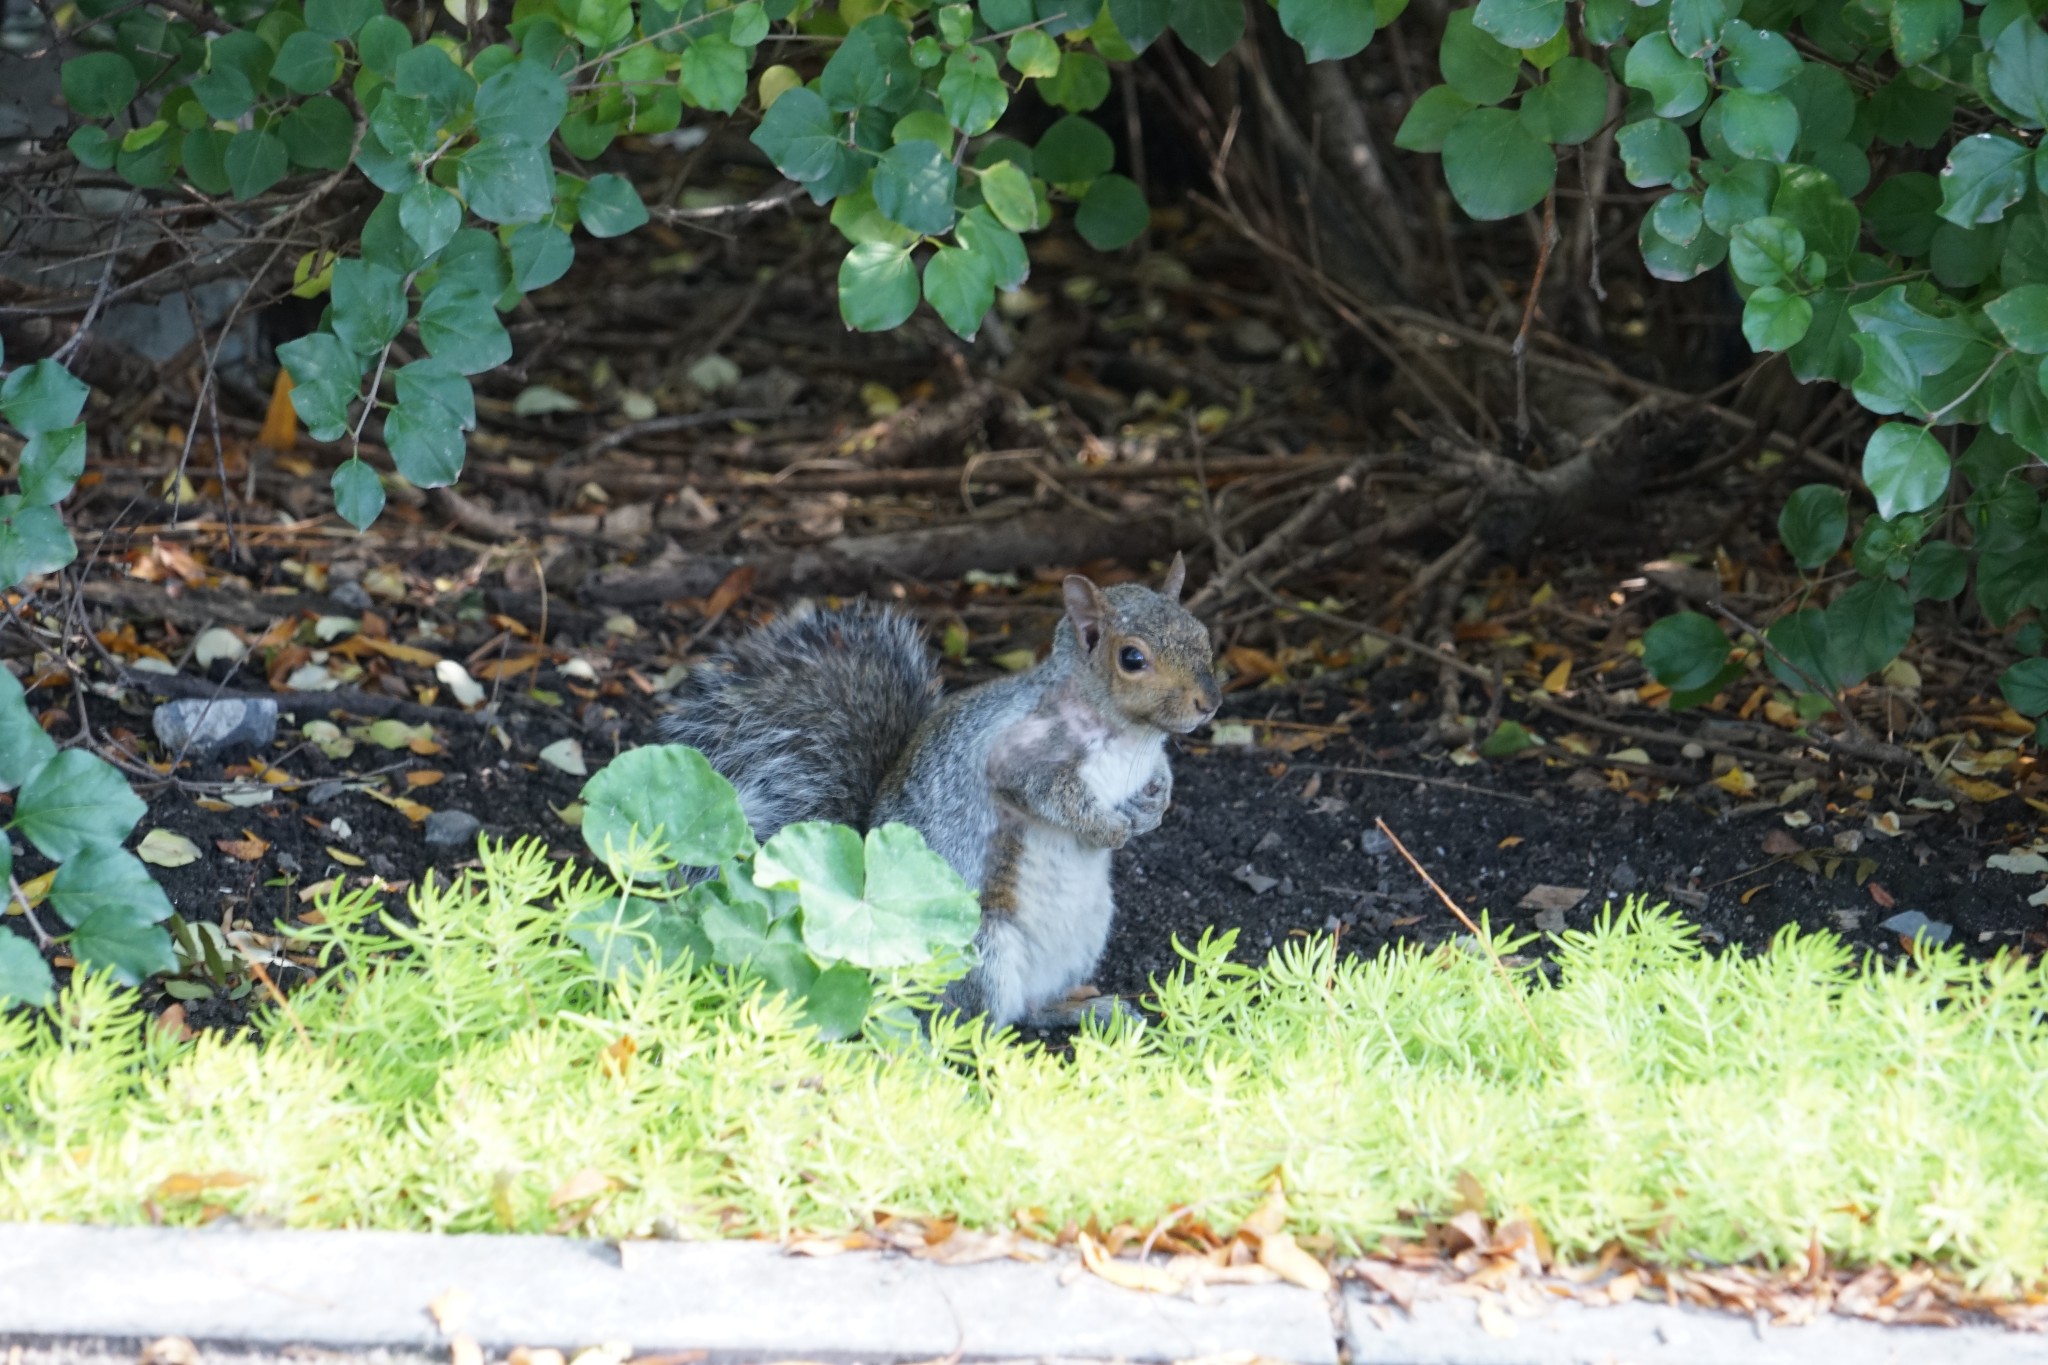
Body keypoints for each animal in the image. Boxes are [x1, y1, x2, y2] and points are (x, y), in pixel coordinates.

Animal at [667, 556, 1212, 1023]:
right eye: (1132, 658)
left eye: (1202, 633)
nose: (1210, 703)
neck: (1131, 735)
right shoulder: (1016, 757)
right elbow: (1050, 794)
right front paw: (1108, 829)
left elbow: (1160, 779)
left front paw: (1153, 808)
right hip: (979, 950)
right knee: (976, 1024)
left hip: (1084, 938)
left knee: (1032, 1012)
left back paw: (1085, 1010)